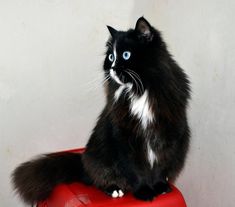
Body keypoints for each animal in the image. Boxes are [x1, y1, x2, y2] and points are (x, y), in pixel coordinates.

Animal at [11, 17, 190, 205]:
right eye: (111, 57)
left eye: (126, 55)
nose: (112, 67)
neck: (139, 90)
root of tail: (83, 163)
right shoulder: (124, 138)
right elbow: (136, 171)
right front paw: (144, 191)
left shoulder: (167, 134)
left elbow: (160, 167)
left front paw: (159, 186)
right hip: (99, 157)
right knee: (98, 179)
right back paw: (115, 189)